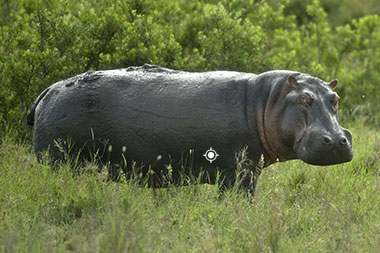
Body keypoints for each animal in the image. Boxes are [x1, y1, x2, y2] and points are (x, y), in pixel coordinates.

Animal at [26, 64, 354, 193]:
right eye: (304, 98)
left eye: (335, 98)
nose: (338, 140)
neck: (267, 101)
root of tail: (48, 90)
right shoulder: (240, 172)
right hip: (61, 161)